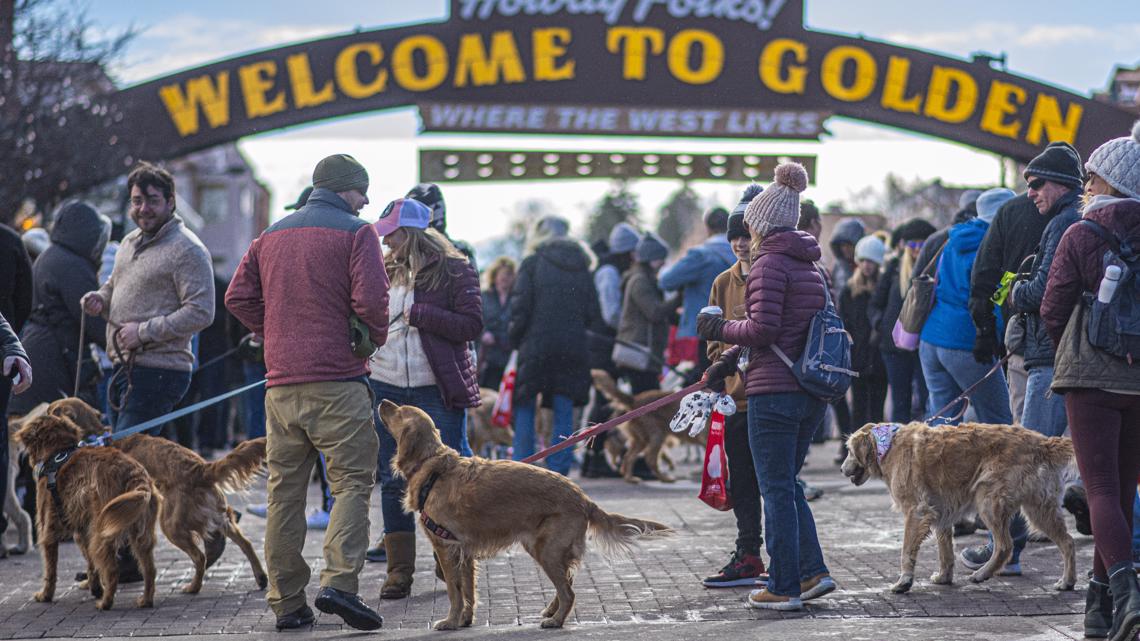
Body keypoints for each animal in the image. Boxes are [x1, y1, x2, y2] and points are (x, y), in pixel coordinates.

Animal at [15, 410, 160, 606]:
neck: (57, 452)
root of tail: (133, 472)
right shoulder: (82, 532)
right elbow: (91, 564)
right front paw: (95, 587)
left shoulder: (48, 532)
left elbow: (50, 571)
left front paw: (45, 595)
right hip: (140, 533)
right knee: (149, 569)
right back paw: (145, 600)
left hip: (102, 530)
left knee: (112, 570)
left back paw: (105, 603)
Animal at [51, 396, 271, 593]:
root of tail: (201, 468)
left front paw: (91, 582)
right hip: (214, 515)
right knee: (244, 542)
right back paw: (260, 576)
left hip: (171, 524)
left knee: (200, 556)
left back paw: (193, 587)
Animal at [378, 396, 670, 625]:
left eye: (400, 411)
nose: (381, 401)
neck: (433, 467)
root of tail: (582, 498)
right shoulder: (465, 553)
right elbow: (469, 592)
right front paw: (464, 621)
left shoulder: (446, 548)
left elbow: (454, 592)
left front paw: (449, 622)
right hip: (543, 547)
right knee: (568, 583)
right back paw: (551, 612)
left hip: (546, 549)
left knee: (569, 592)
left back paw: (555, 620)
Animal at [839, 422, 1076, 593]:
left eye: (849, 451)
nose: (841, 469)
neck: (887, 446)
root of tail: (1043, 442)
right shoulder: (940, 513)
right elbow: (945, 551)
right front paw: (944, 577)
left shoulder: (916, 512)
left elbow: (906, 550)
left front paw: (904, 581)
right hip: (1040, 507)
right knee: (1068, 541)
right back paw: (1068, 581)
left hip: (989, 501)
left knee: (1005, 545)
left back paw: (982, 574)